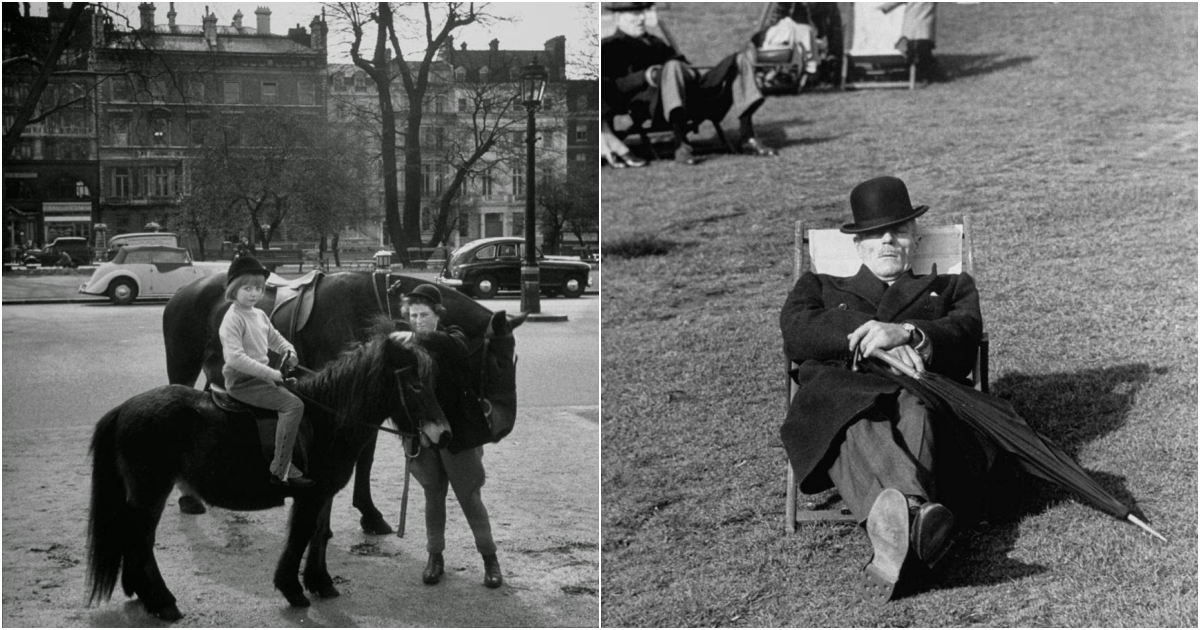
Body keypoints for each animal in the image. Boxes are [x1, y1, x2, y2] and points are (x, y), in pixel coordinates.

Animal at [87, 326, 448, 619]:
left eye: (431, 382)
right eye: (415, 385)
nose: (443, 433)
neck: (326, 419)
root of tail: (123, 410)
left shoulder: (323, 494)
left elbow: (319, 535)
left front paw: (321, 582)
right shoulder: (310, 496)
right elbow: (301, 536)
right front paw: (292, 589)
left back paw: (140, 592)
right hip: (151, 492)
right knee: (141, 541)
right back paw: (162, 601)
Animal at [162, 272, 523, 532]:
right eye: (499, 361)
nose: (505, 425)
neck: (368, 306)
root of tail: (181, 292)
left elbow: (366, 456)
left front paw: (367, 513)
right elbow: (360, 454)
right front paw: (362, 513)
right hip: (183, 367)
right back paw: (189, 498)